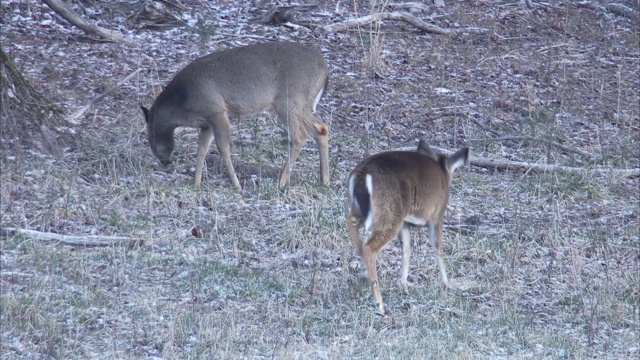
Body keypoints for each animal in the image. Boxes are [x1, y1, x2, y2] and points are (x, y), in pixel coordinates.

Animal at [141, 42, 330, 190]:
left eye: (150, 136)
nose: (164, 161)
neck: (182, 102)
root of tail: (325, 69)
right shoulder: (206, 123)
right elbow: (202, 149)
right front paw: (196, 184)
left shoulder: (216, 110)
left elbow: (223, 148)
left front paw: (236, 185)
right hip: (302, 106)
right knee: (322, 129)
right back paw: (324, 181)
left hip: (289, 102)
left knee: (300, 136)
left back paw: (281, 181)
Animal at [344, 141, 470, 316]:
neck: (443, 172)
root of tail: (362, 174)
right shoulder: (436, 216)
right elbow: (437, 248)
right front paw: (447, 283)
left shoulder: (405, 224)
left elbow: (406, 250)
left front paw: (403, 284)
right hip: (390, 212)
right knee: (369, 247)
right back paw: (380, 304)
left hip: (364, 209)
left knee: (351, 221)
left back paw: (363, 275)